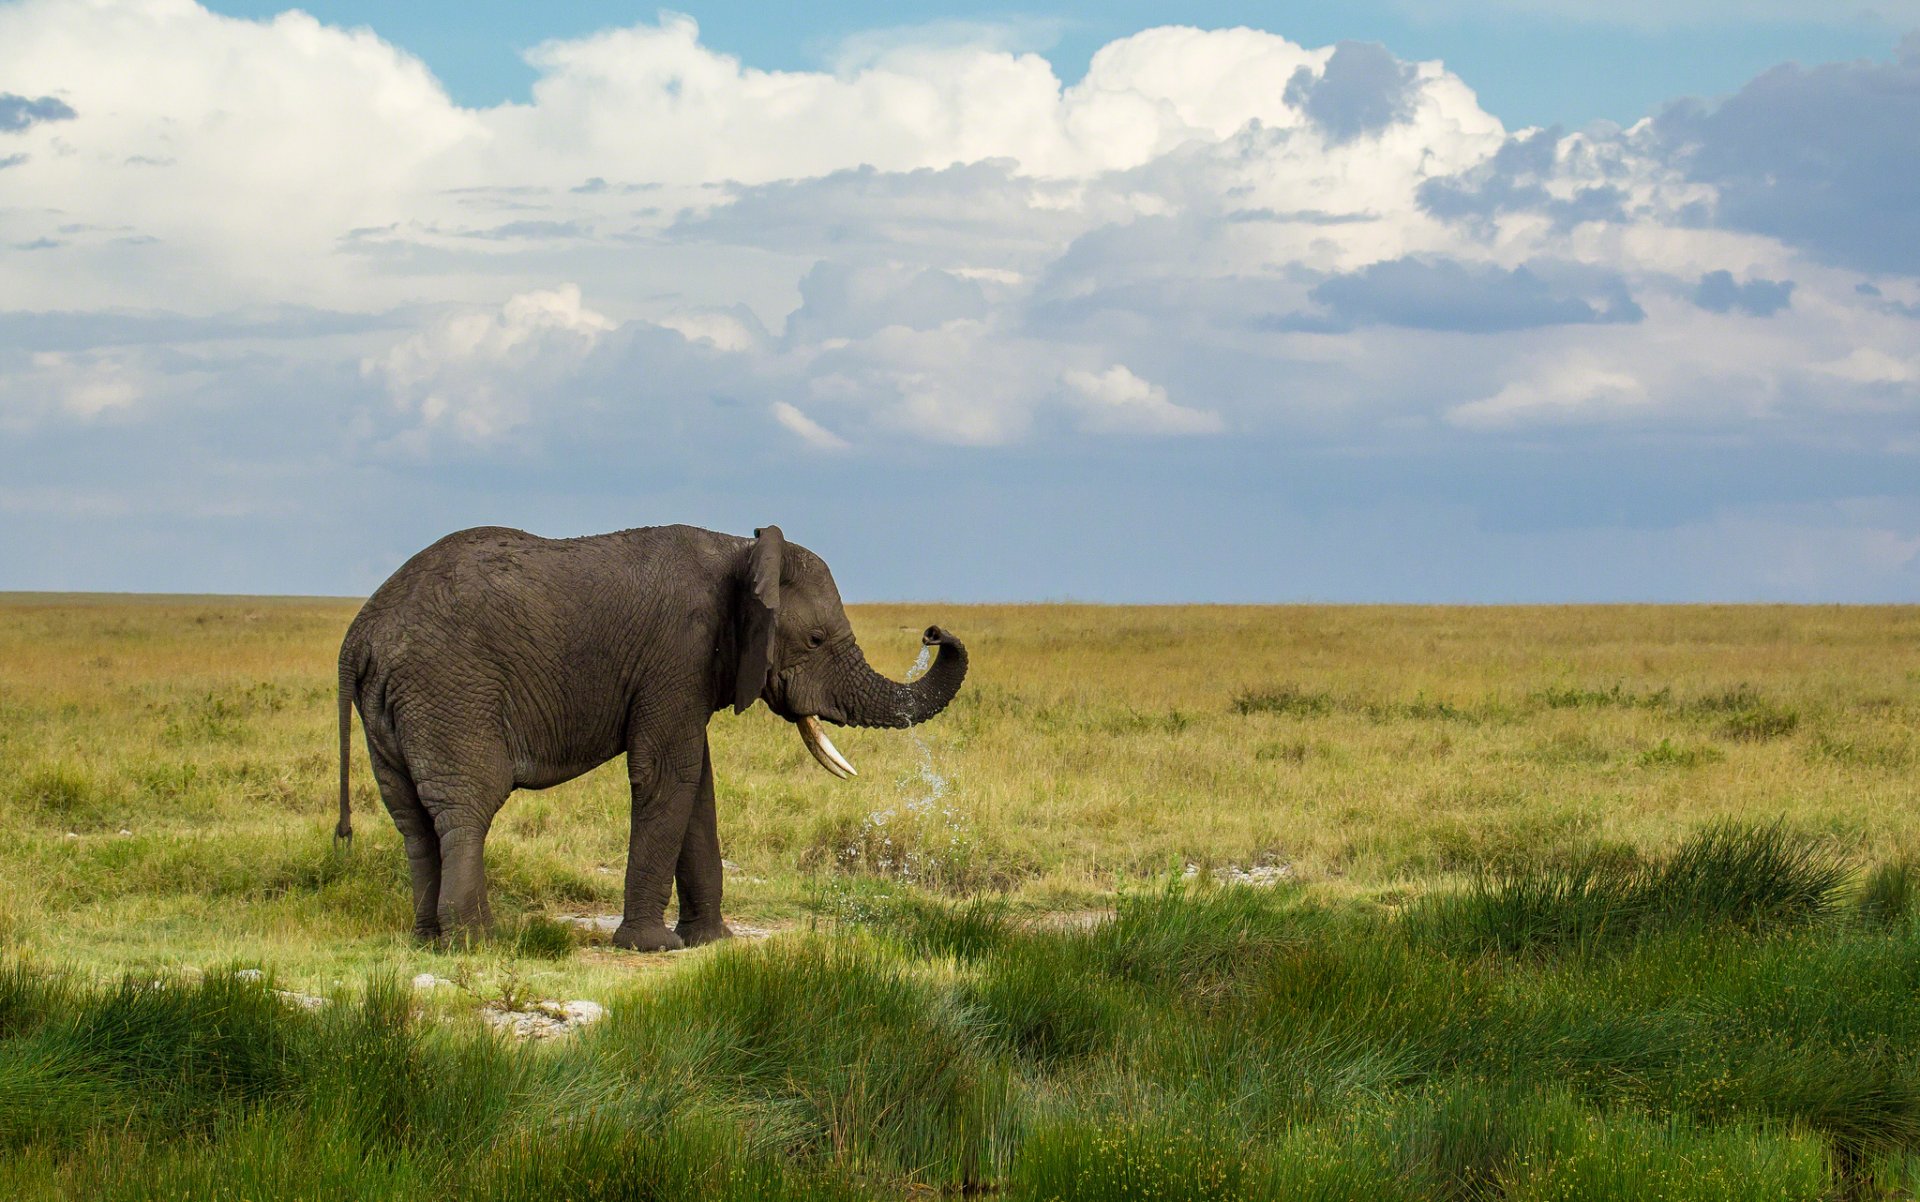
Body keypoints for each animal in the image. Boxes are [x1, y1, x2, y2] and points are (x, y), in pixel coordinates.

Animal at [333, 523, 967, 951]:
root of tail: (359, 635)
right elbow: (669, 774)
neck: (740, 549)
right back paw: (479, 941)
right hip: (450, 691)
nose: (934, 632)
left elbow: (697, 785)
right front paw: (652, 946)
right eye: (814, 640)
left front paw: (712, 941)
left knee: (412, 818)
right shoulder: (677, 652)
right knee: (468, 807)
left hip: (391, 709)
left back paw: (427, 939)